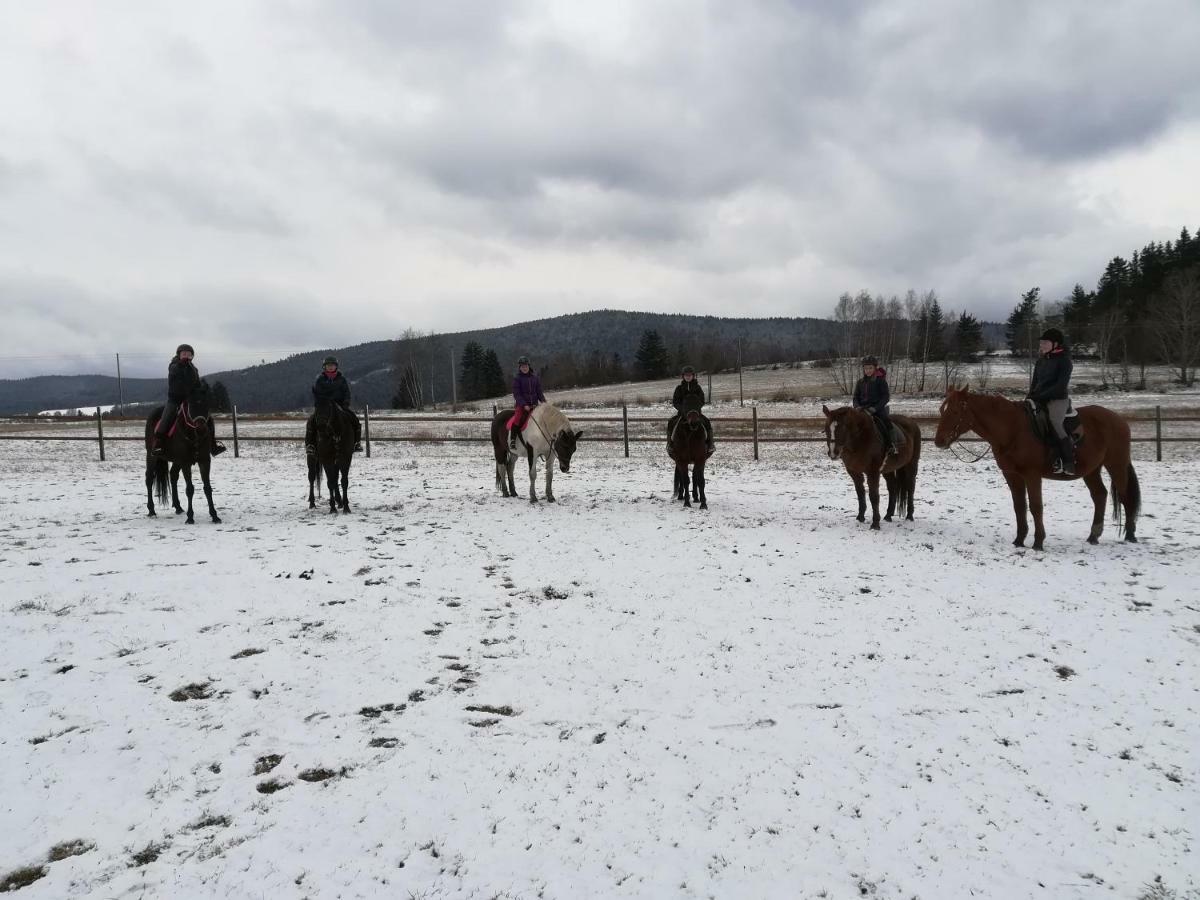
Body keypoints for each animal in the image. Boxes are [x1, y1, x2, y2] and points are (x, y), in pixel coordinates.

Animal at [144, 384, 222, 525]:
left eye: (206, 403)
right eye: (191, 404)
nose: (201, 429)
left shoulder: (204, 461)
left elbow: (207, 488)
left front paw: (214, 515)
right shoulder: (186, 462)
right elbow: (190, 489)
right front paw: (190, 517)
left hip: (176, 460)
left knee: (173, 476)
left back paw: (178, 507)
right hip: (151, 456)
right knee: (149, 479)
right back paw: (151, 510)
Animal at [931, 386, 1137, 549]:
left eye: (955, 411)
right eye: (942, 410)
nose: (939, 441)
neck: (1012, 429)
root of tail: (1119, 419)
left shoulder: (1032, 475)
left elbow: (1036, 506)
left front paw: (1038, 542)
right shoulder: (1012, 475)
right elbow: (1019, 506)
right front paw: (1019, 540)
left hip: (1116, 465)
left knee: (1126, 497)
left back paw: (1130, 535)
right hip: (1091, 470)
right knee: (1100, 495)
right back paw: (1094, 536)